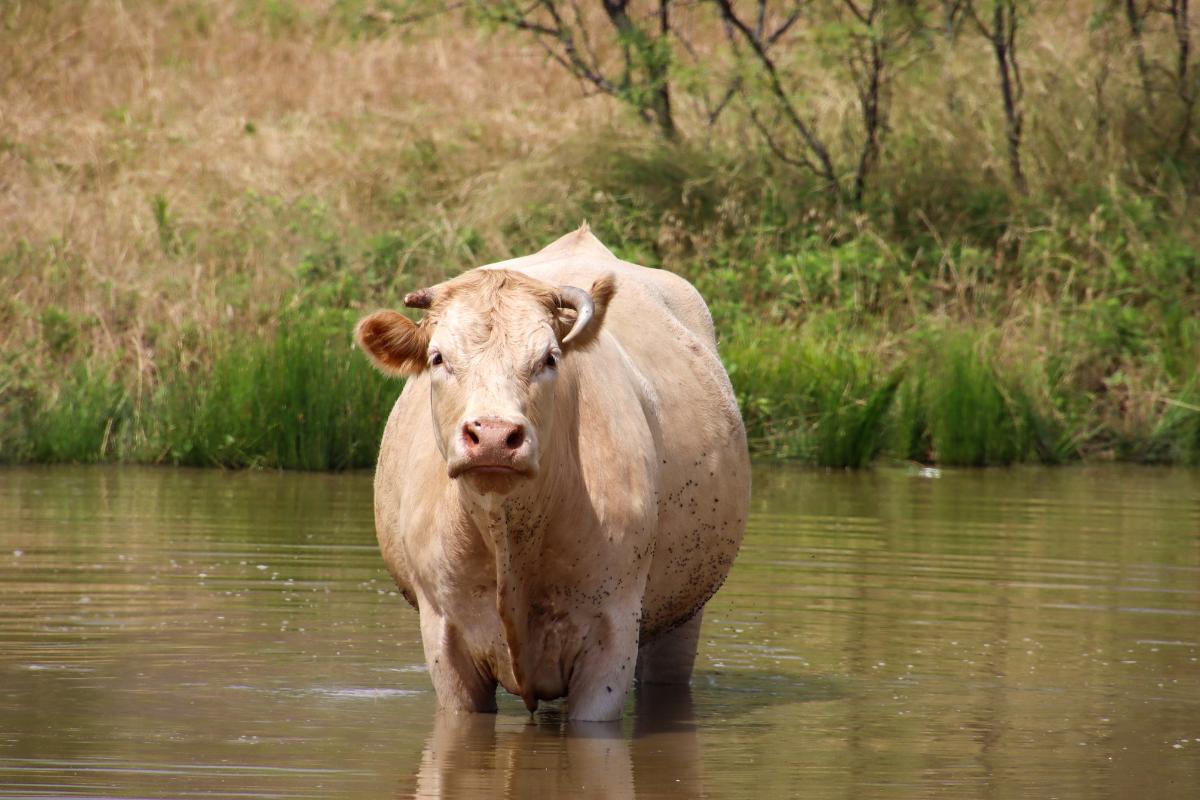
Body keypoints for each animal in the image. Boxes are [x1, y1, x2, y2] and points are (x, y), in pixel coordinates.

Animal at [354, 224, 749, 721]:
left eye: (549, 358)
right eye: (438, 358)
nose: (493, 435)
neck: (510, 533)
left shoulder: (612, 635)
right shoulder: (444, 636)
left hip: (685, 614)